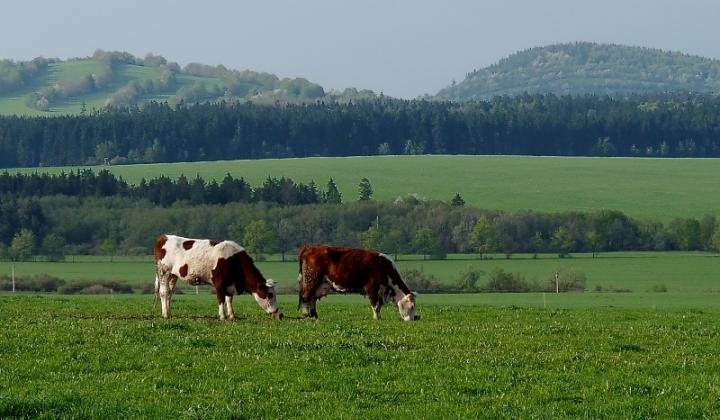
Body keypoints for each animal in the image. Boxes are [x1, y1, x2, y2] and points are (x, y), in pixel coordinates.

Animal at [153, 235, 282, 320]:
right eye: (270, 295)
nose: (278, 312)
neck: (234, 260)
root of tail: (164, 237)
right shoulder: (219, 283)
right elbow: (221, 299)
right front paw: (223, 316)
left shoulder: (229, 283)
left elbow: (229, 299)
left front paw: (232, 315)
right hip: (164, 272)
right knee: (164, 292)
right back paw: (165, 314)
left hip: (173, 275)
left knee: (170, 293)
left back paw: (169, 312)